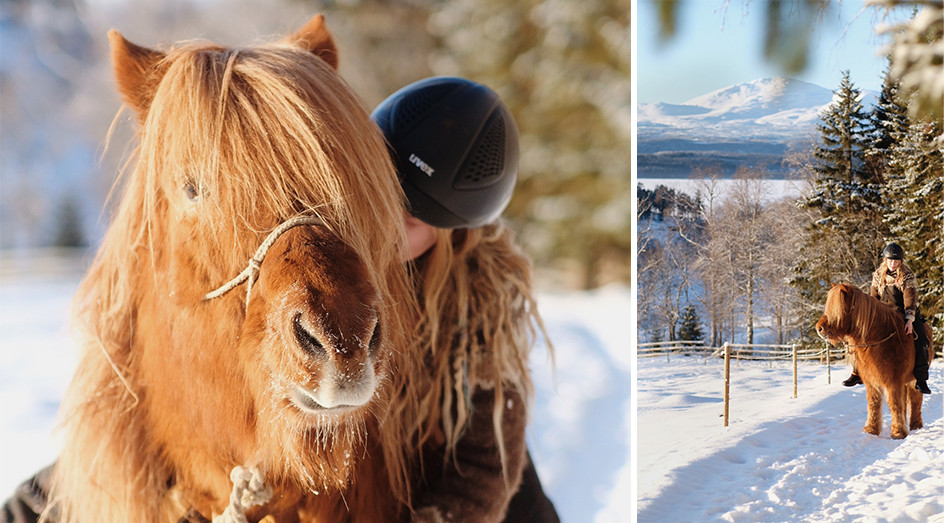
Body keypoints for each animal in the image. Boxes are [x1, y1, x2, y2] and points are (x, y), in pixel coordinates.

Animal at [816, 284, 932, 440]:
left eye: (837, 308)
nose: (819, 328)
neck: (879, 339)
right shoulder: (872, 382)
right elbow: (874, 403)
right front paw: (871, 429)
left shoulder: (893, 382)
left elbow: (894, 404)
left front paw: (898, 432)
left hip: (914, 380)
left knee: (915, 400)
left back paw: (915, 426)